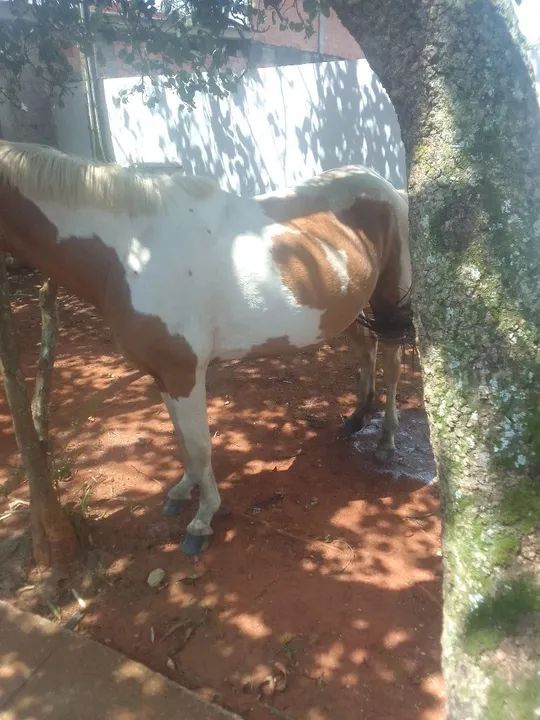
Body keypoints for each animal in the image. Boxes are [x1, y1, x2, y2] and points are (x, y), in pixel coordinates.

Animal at [0, 140, 413, 555]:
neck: (131, 251)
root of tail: (383, 183)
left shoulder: (184, 373)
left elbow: (200, 446)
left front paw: (202, 520)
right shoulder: (163, 375)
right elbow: (183, 442)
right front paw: (182, 491)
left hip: (389, 298)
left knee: (392, 363)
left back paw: (386, 441)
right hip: (344, 309)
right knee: (366, 349)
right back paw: (357, 417)